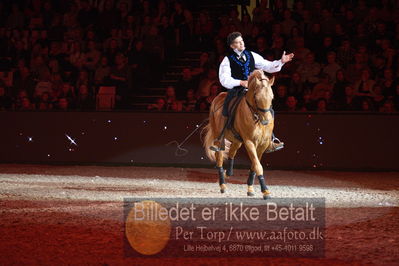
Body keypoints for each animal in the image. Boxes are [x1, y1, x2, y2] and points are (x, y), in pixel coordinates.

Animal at [205, 69, 276, 198]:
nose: (266, 121)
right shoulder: (249, 142)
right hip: (220, 139)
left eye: (272, 97)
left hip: (237, 140)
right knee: (219, 158)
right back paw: (222, 185)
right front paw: (265, 191)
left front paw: (250, 188)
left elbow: (254, 165)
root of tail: (218, 97)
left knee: (232, 152)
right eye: (256, 97)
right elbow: (258, 166)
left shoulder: (263, 144)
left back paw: (228, 173)